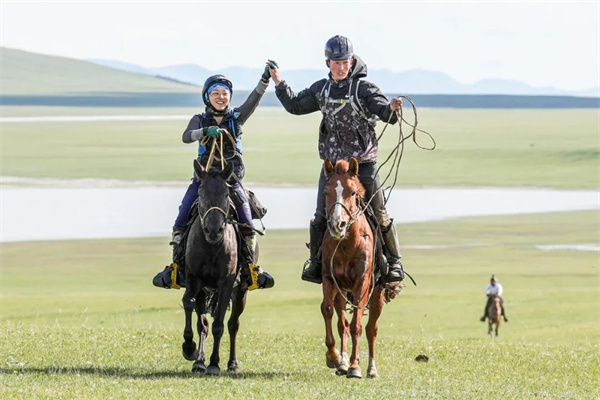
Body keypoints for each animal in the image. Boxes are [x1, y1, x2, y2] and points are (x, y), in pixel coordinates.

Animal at [181, 159, 248, 375]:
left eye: (226, 194)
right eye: (201, 194)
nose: (213, 230)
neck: (211, 246)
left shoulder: (226, 282)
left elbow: (219, 324)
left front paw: (214, 363)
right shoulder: (194, 278)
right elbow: (189, 305)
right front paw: (190, 349)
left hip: (240, 292)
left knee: (233, 324)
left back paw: (232, 364)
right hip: (205, 289)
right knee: (203, 323)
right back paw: (199, 361)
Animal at [320, 158, 401, 379]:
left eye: (353, 192)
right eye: (326, 192)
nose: (337, 225)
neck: (347, 244)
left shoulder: (362, 283)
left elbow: (357, 324)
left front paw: (355, 367)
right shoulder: (329, 279)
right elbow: (329, 312)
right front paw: (334, 357)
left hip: (377, 293)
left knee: (371, 328)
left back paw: (371, 369)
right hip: (342, 292)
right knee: (343, 325)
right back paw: (342, 363)